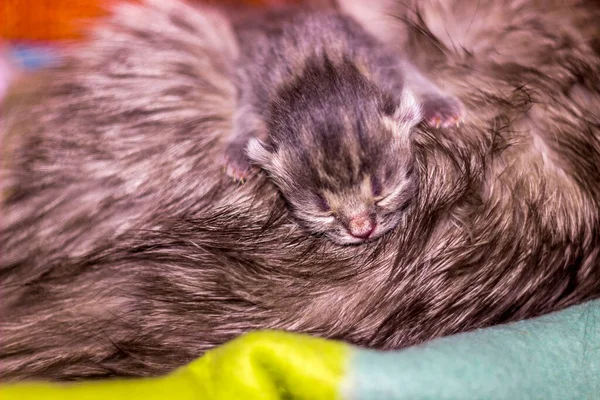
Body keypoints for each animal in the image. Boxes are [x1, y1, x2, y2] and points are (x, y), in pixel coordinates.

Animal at [224, 9, 464, 244]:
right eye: (322, 211)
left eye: (383, 194)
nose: (362, 229)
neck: (318, 69)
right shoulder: (256, 83)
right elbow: (246, 112)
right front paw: (239, 153)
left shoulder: (381, 57)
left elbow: (411, 75)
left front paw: (440, 105)